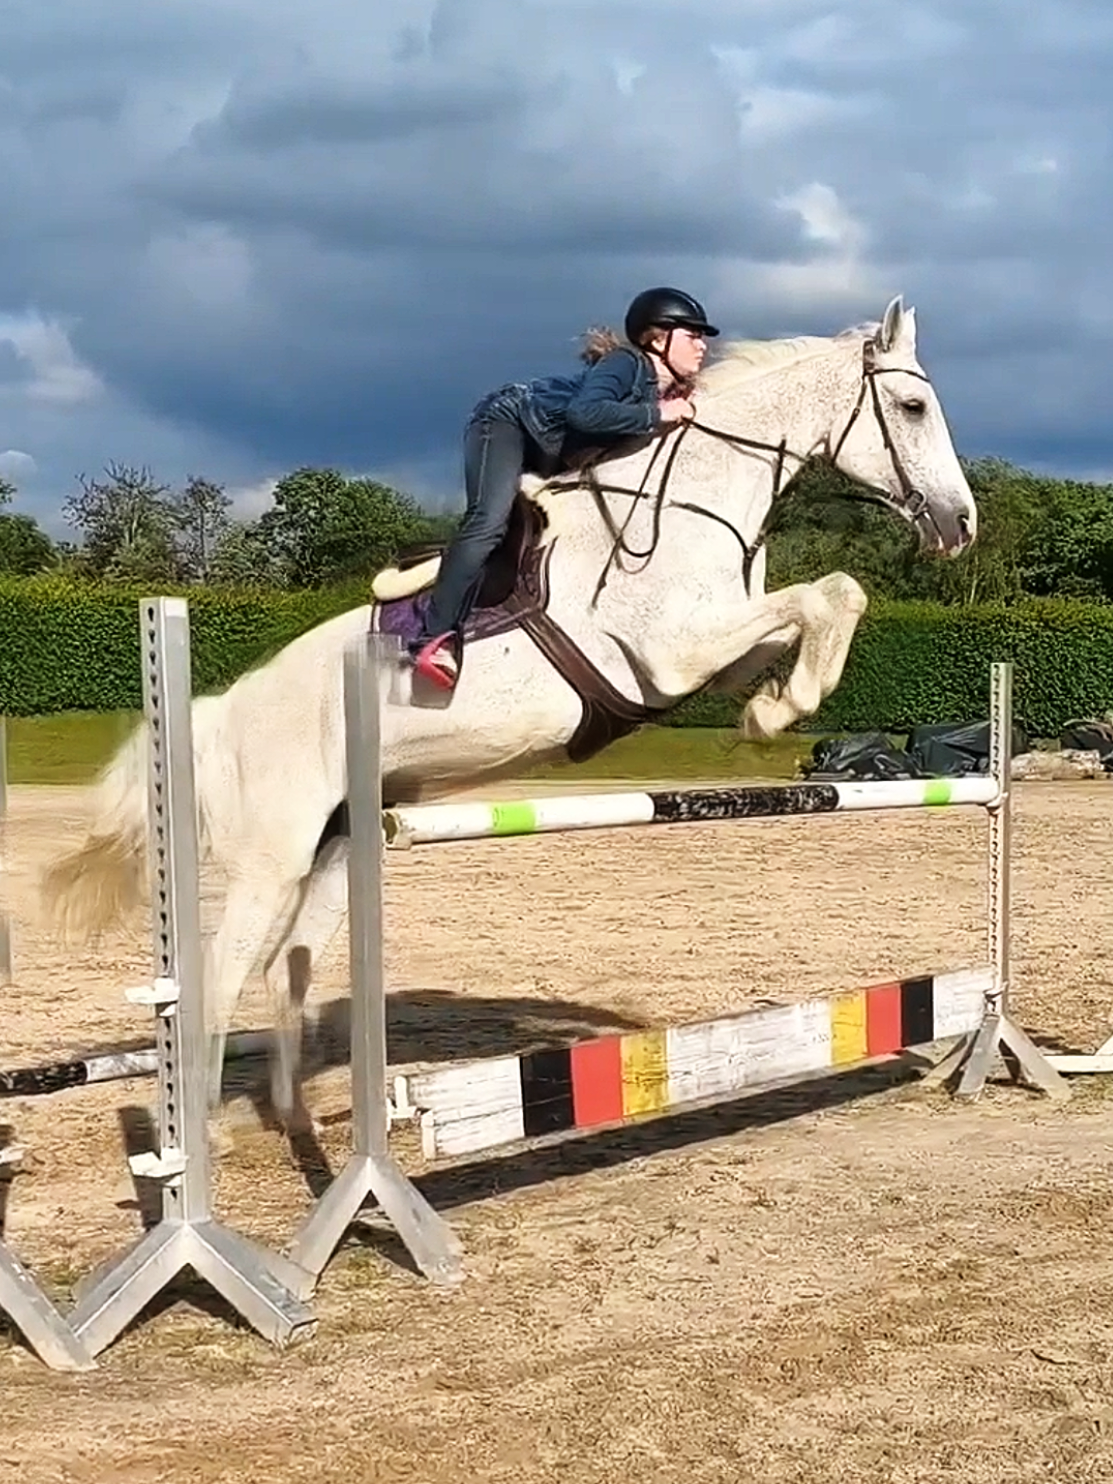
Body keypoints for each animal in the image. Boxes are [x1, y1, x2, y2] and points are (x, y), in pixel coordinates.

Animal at [42, 295, 977, 1141]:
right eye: (912, 407)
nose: (960, 524)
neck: (690, 499)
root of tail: (222, 710)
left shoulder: (710, 651)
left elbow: (821, 606)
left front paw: (770, 706)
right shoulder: (672, 651)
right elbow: (832, 592)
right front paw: (785, 706)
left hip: (337, 848)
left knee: (286, 973)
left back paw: (298, 1121)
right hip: (270, 859)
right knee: (218, 980)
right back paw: (202, 1137)